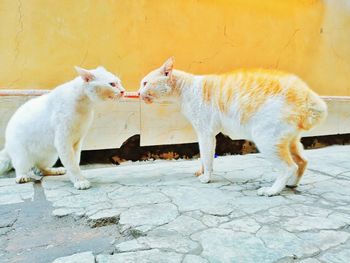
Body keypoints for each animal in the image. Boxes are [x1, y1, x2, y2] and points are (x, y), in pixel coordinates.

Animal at [138, 58, 326, 197]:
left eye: (145, 83)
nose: (138, 93)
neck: (186, 89)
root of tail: (308, 97)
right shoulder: (202, 135)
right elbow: (202, 157)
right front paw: (201, 172)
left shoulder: (206, 134)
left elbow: (207, 158)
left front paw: (207, 177)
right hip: (289, 140)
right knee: (302, 161)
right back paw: (292, 184)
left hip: (266, 139)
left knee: (289, 166)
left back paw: (272, 190)